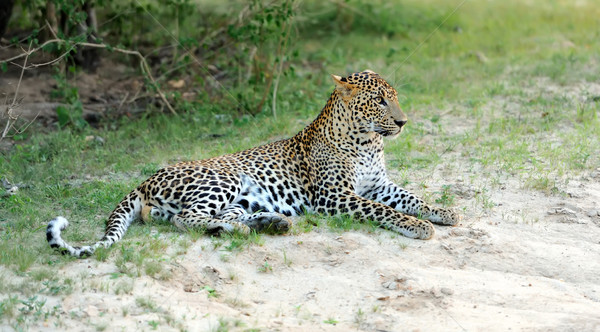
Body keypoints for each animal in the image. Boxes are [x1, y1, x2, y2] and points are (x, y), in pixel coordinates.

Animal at [47, 69, 460, 256]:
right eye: (379, 101)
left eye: (395, 97)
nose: (403, 122)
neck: (367, 141)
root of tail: (145, 180)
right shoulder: (336, 197)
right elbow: (384, 211)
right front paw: (417, 226)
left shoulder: (378, 184)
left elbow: (410, 197)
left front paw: (443, 211)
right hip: (222, 179)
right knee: (187, 219)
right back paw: (249, 229)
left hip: (238, 196)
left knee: (210, 217)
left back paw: (269, 223)